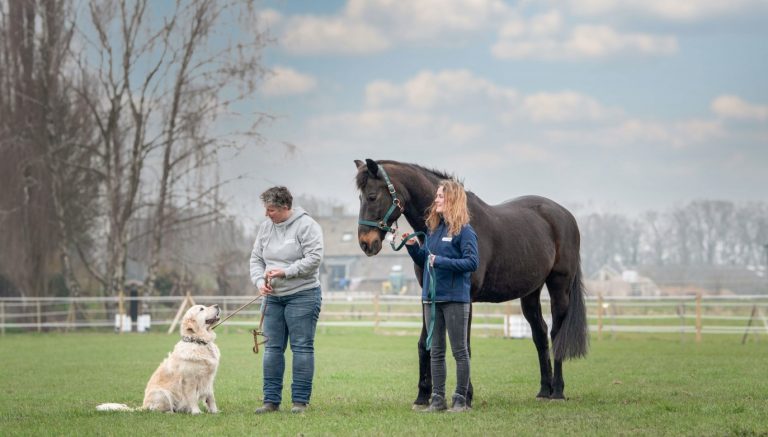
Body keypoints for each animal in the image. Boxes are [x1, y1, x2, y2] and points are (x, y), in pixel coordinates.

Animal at [354, 159, 588, 407]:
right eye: (360, 198)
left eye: (372, 196)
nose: (365, 243)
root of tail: (565, 215)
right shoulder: (428, 296)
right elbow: (425, 344)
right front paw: (423, 395)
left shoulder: (465, 299)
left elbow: (463, 345)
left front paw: (465, 395)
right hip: (530, 292)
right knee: (540, 334)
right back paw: (544, 389)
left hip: (559, 287)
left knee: (556, 334)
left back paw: (558, 391)